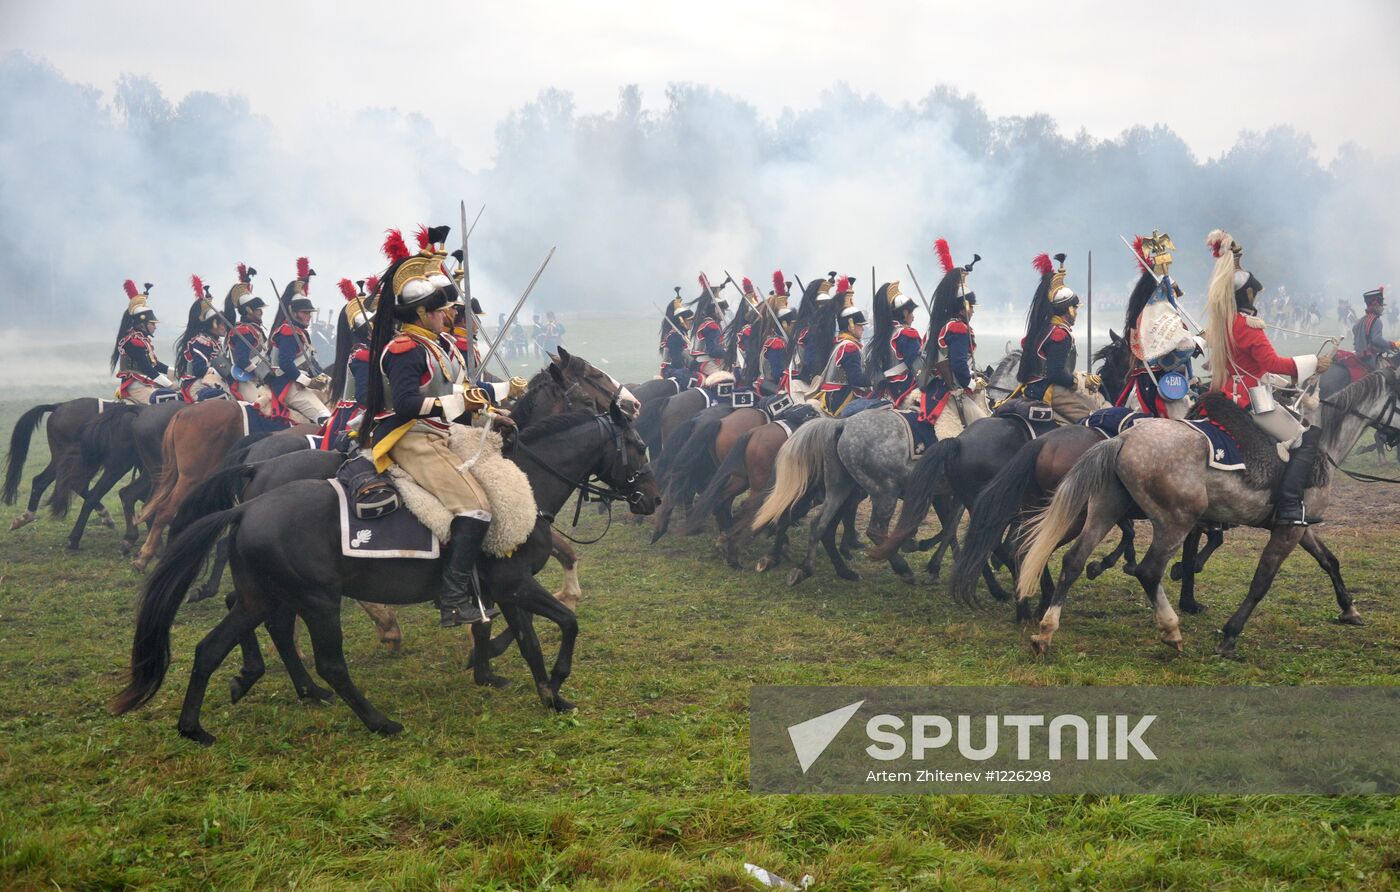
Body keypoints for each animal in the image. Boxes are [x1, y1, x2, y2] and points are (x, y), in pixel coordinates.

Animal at [112, 400, 658, 739]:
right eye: (638, 445)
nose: (651, 499)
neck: (524, 486)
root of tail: (249, 504)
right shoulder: (514, 585)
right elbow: (565, 623)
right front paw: (556, 682)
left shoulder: (505, 589)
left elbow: (526, 641)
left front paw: (541, 691)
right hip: (317, 600)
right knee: (329, 662)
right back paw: (377, 720)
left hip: (262, 596)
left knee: (215, 646)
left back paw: (203, 722)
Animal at [1019, 366, 1400, 655]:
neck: (1321, 446)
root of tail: (1122, 439)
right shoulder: (1288, 529)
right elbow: (1261, 582)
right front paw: (1230, 634)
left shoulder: (1299, 524)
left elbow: (1329, 561)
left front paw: (1349, 609)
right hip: (1175, 522)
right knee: (1148, 571)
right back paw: (1171, 631)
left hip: (1104, 512)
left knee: (1073, 560)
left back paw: (1045, 631)